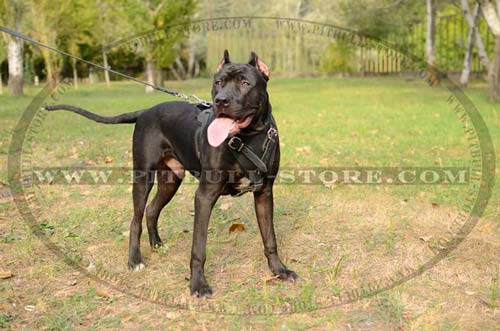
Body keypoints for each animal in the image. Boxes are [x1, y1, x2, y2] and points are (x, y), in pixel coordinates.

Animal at [45, 50, 298, 296]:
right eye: (218, 82)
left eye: (245, 83)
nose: (220, 100)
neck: (249, 137)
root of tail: (145, 111)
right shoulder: (205, 195)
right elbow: (198, 247)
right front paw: (198, 285)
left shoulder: (264, 192)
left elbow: (270, 237)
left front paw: (279, 270)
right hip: (143, 177)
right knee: (135, 219)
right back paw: (135, 260)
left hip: (170, 180)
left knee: (151, 210)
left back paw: (156, 244)